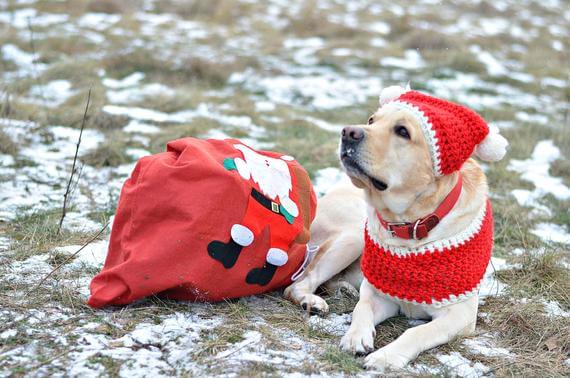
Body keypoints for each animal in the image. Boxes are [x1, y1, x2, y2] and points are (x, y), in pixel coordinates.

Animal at [284, 85, 506, 370]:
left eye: (402, 131)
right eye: (371, 120)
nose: (348, 132)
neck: (410, 225)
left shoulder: (460, 313)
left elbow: (417, 331)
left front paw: (385, 356)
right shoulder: (380, 296)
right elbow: (362, 308)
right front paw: (356, 337)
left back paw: (343, 288)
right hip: (354, 235)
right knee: (299, 283)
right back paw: (311, 300)